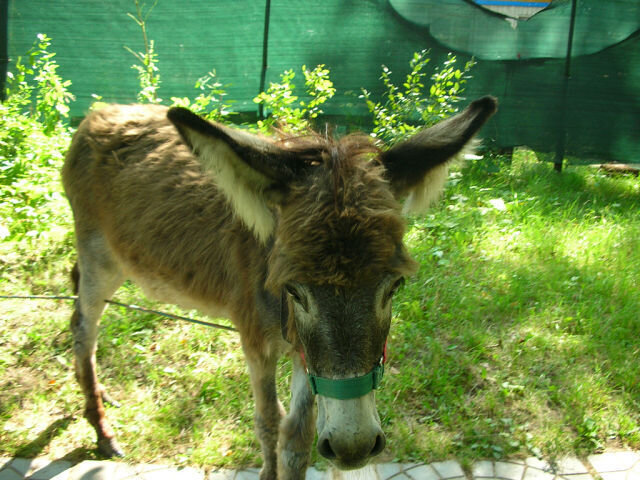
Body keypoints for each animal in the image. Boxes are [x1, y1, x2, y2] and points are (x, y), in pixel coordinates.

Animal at [61, 95, 497, 480]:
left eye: (394, 287)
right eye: (295, 291)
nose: (354, 447)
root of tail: (101, 112)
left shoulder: (306, 354)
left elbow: (297, 437)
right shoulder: (255, 338)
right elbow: (269, 421)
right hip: (100, 255)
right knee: (84, 326)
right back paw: (102, 431)